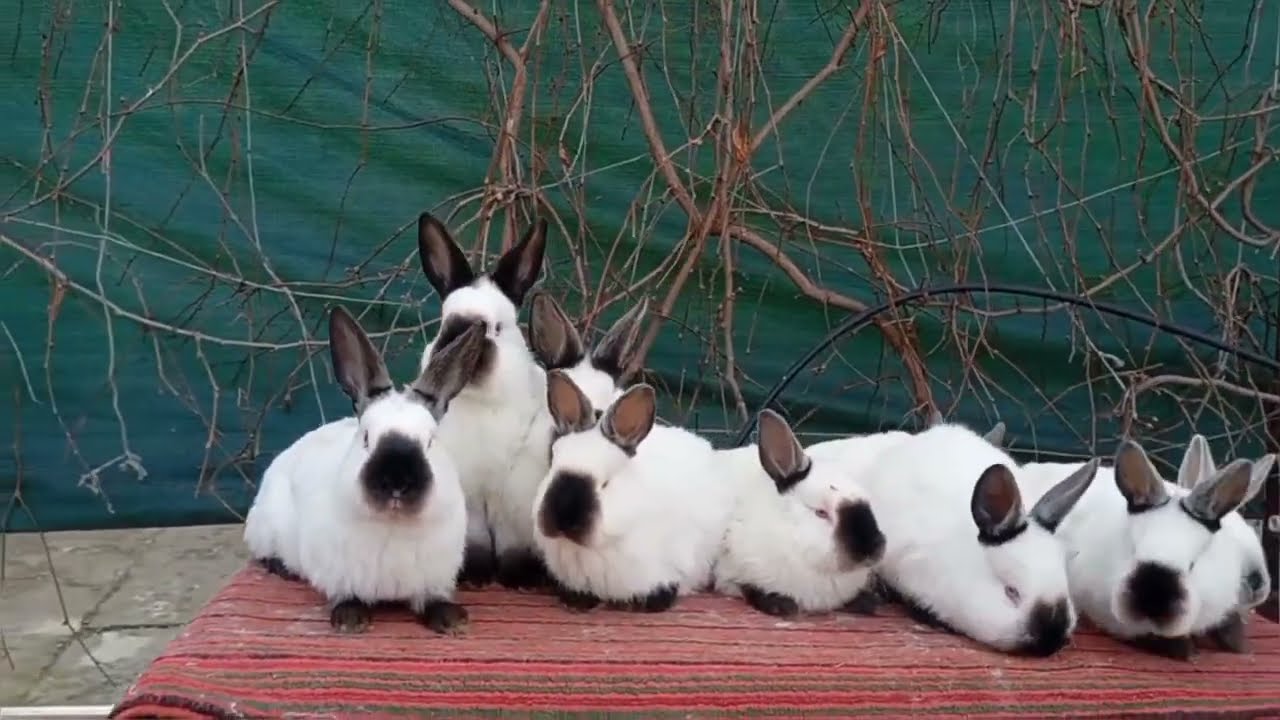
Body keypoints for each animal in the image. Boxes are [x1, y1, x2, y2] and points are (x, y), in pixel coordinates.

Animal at [248, 306, 482, 634]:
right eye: (366, 438)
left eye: (430, 441)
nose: (397, 481)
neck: (394, 525)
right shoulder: (337, 574)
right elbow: (346, 595)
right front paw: (350, 620)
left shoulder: (434, 578)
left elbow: (432, 599)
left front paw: (452, 621)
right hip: (266, 525)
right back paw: (284, 569)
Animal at [414, 212, 554, 591]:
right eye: (446, 325)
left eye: (496, 328)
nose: (459, 343)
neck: (481, 403)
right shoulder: (470, 499)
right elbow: (475, 539)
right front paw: (476, 576)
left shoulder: (513, 498)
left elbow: (510, 544)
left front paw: (517, 578)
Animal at [712, 409, 887, 618]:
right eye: (821, 512)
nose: (871, 548)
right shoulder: (729, 573)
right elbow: (749, 588)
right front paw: (782, 605)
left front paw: (870, 602)